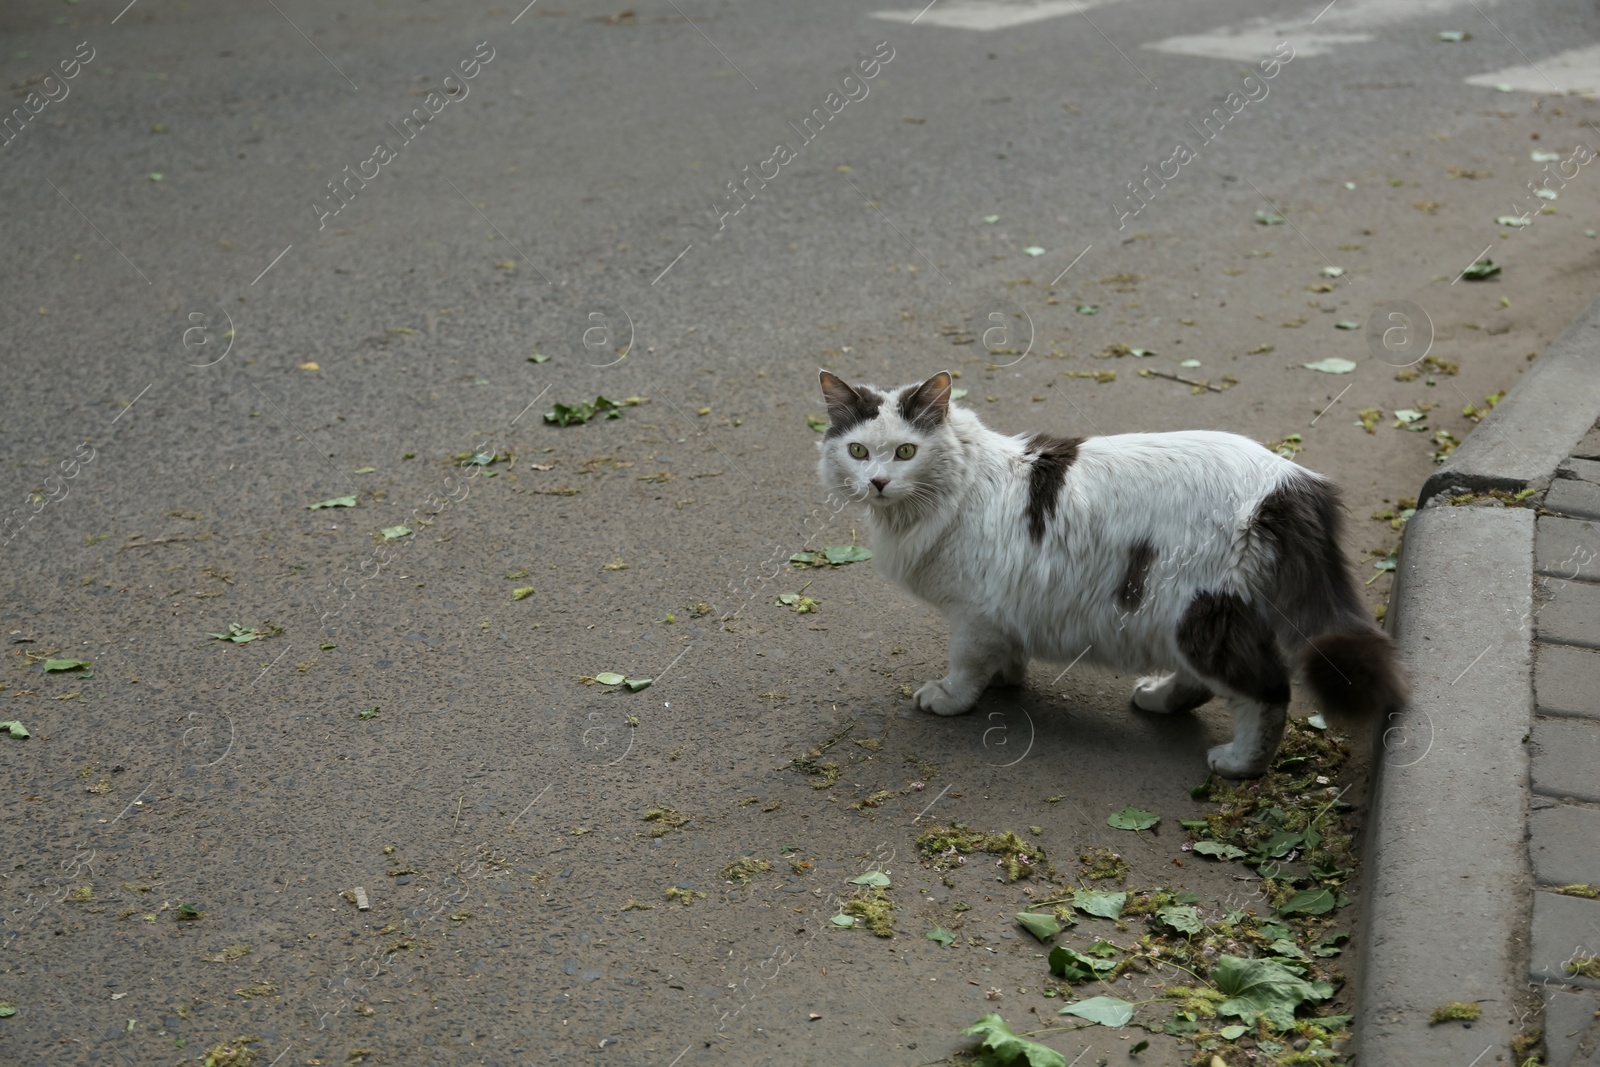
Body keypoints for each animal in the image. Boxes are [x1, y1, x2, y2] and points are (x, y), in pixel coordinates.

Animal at [819, 367, 1408, 777]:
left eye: (905, 451)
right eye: (857, 450)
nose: (876, 482)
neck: (960, 487)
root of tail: (1289, 479)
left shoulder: (972, 612)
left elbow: (965, 666)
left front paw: (951, 698)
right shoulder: (1002, 607)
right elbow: (1005, 652)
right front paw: (1007, 678)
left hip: (1197, 612)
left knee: (1266, 691)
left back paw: (1240, 764)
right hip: (1192, 615)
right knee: (1206, 683)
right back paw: (1158, 699)